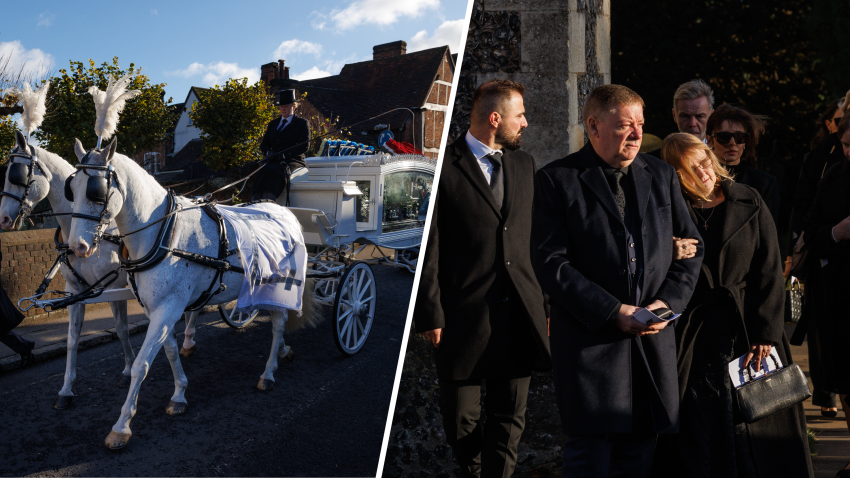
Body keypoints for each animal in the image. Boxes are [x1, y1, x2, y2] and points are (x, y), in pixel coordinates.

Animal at [0, 131, 200, 410]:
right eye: (71, 189)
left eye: (17, 174)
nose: (4, 219)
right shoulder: (76, 291)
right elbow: (72, 339)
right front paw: (66, 389)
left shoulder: (114, 287)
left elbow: (121, 329)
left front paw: (127, 371)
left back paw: (189, 340)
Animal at [67, 137, 322, 448]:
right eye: (72, 188)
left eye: (96, 191)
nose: (77, 246)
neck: (164, 234)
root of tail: (286, 213)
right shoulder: (159, 309)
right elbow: (170, 352)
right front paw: (179, 394)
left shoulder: (168, 308)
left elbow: (141, 365)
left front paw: (122, 426)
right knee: (277, 322)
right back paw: (283, 350)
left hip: (280, 285)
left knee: (278, 324)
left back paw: (269, 372)